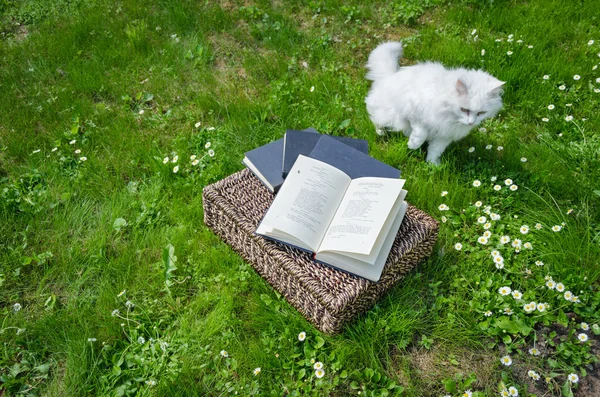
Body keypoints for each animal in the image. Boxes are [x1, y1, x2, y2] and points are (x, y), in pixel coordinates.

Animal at [364, 41, 504, 162]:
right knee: (375, 119)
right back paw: (381, 132)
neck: (448, 116)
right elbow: (421, 133)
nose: (471, 123)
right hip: (386, 116)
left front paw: (433, 165)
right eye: (464, 109)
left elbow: (435, 151)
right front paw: (413, 145)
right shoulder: (415, 113)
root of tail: (389, 76)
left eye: (481, 113)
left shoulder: (444, 136)